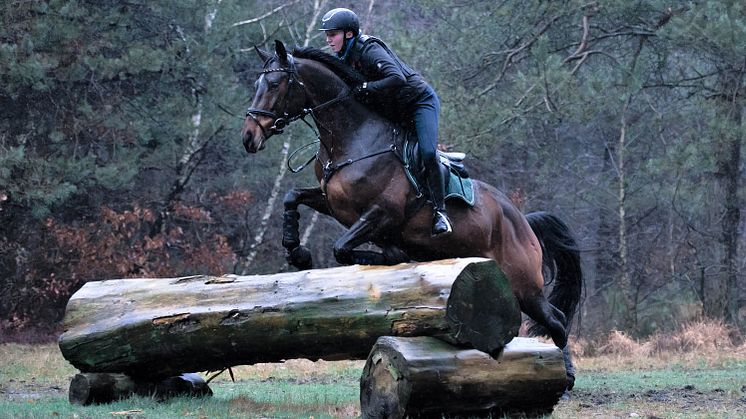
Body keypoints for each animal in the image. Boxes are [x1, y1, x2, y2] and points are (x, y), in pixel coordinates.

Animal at [240, 41, 580, 388]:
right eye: (256, 84)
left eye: (274, 84)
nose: (249, 138)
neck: (353, 139)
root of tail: (523, 222)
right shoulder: (333, 203)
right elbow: (292, 198)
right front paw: (297, 250)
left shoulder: (382, 213)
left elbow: (342, 248)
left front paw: (386, 257)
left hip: (525, 285)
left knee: (556, 320)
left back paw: (565, 374)